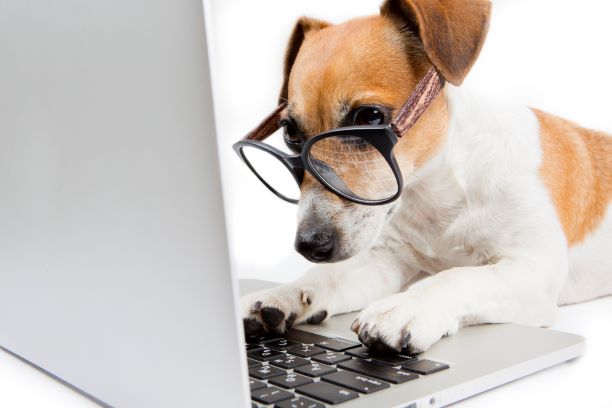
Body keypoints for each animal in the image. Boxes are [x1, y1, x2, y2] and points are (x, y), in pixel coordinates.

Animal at [239, 0, 612, 354]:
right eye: (290, 133)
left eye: (369, 117)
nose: (310, 244)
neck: (439, 192)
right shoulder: (386, 261)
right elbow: (327, 276)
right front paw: (284, 293)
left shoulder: (534, 270)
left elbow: (457, 277)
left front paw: (406, 307)